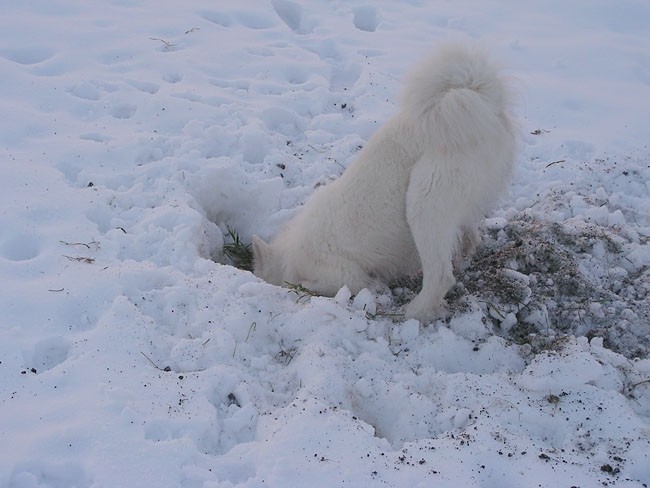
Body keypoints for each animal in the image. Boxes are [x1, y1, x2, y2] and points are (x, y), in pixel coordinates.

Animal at [251, 43, 512, 322]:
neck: (291, 253)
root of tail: (484, 101)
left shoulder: (345, 275)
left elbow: (318, 285)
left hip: (424, 204)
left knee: (441, 277)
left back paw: (412, 312)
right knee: (468, 238)